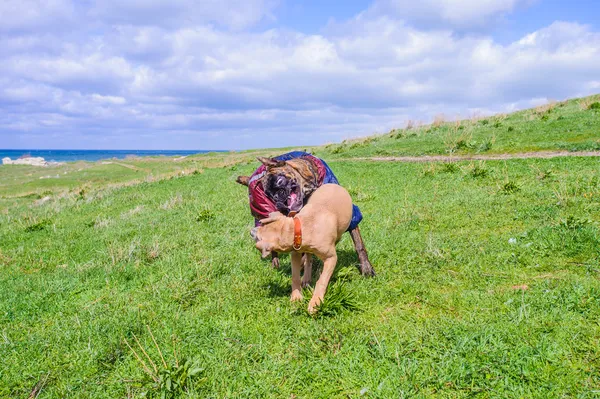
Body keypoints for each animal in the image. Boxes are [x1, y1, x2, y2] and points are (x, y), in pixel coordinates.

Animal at [236, 157, 372, 278]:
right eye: (268, 194)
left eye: (279, 181)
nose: (275, 198)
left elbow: (359, 244)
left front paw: (366, 268)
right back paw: (276, 260)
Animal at [251, 184, 354, 312]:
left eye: (258, 236)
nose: (251, 231)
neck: (302, 228)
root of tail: (334, 184)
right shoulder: (295, 252)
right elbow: (295, 276)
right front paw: (296, 297)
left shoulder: (331, 258)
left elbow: (322, 280)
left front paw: (315, 302)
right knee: (309, 259)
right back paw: (306, 277)